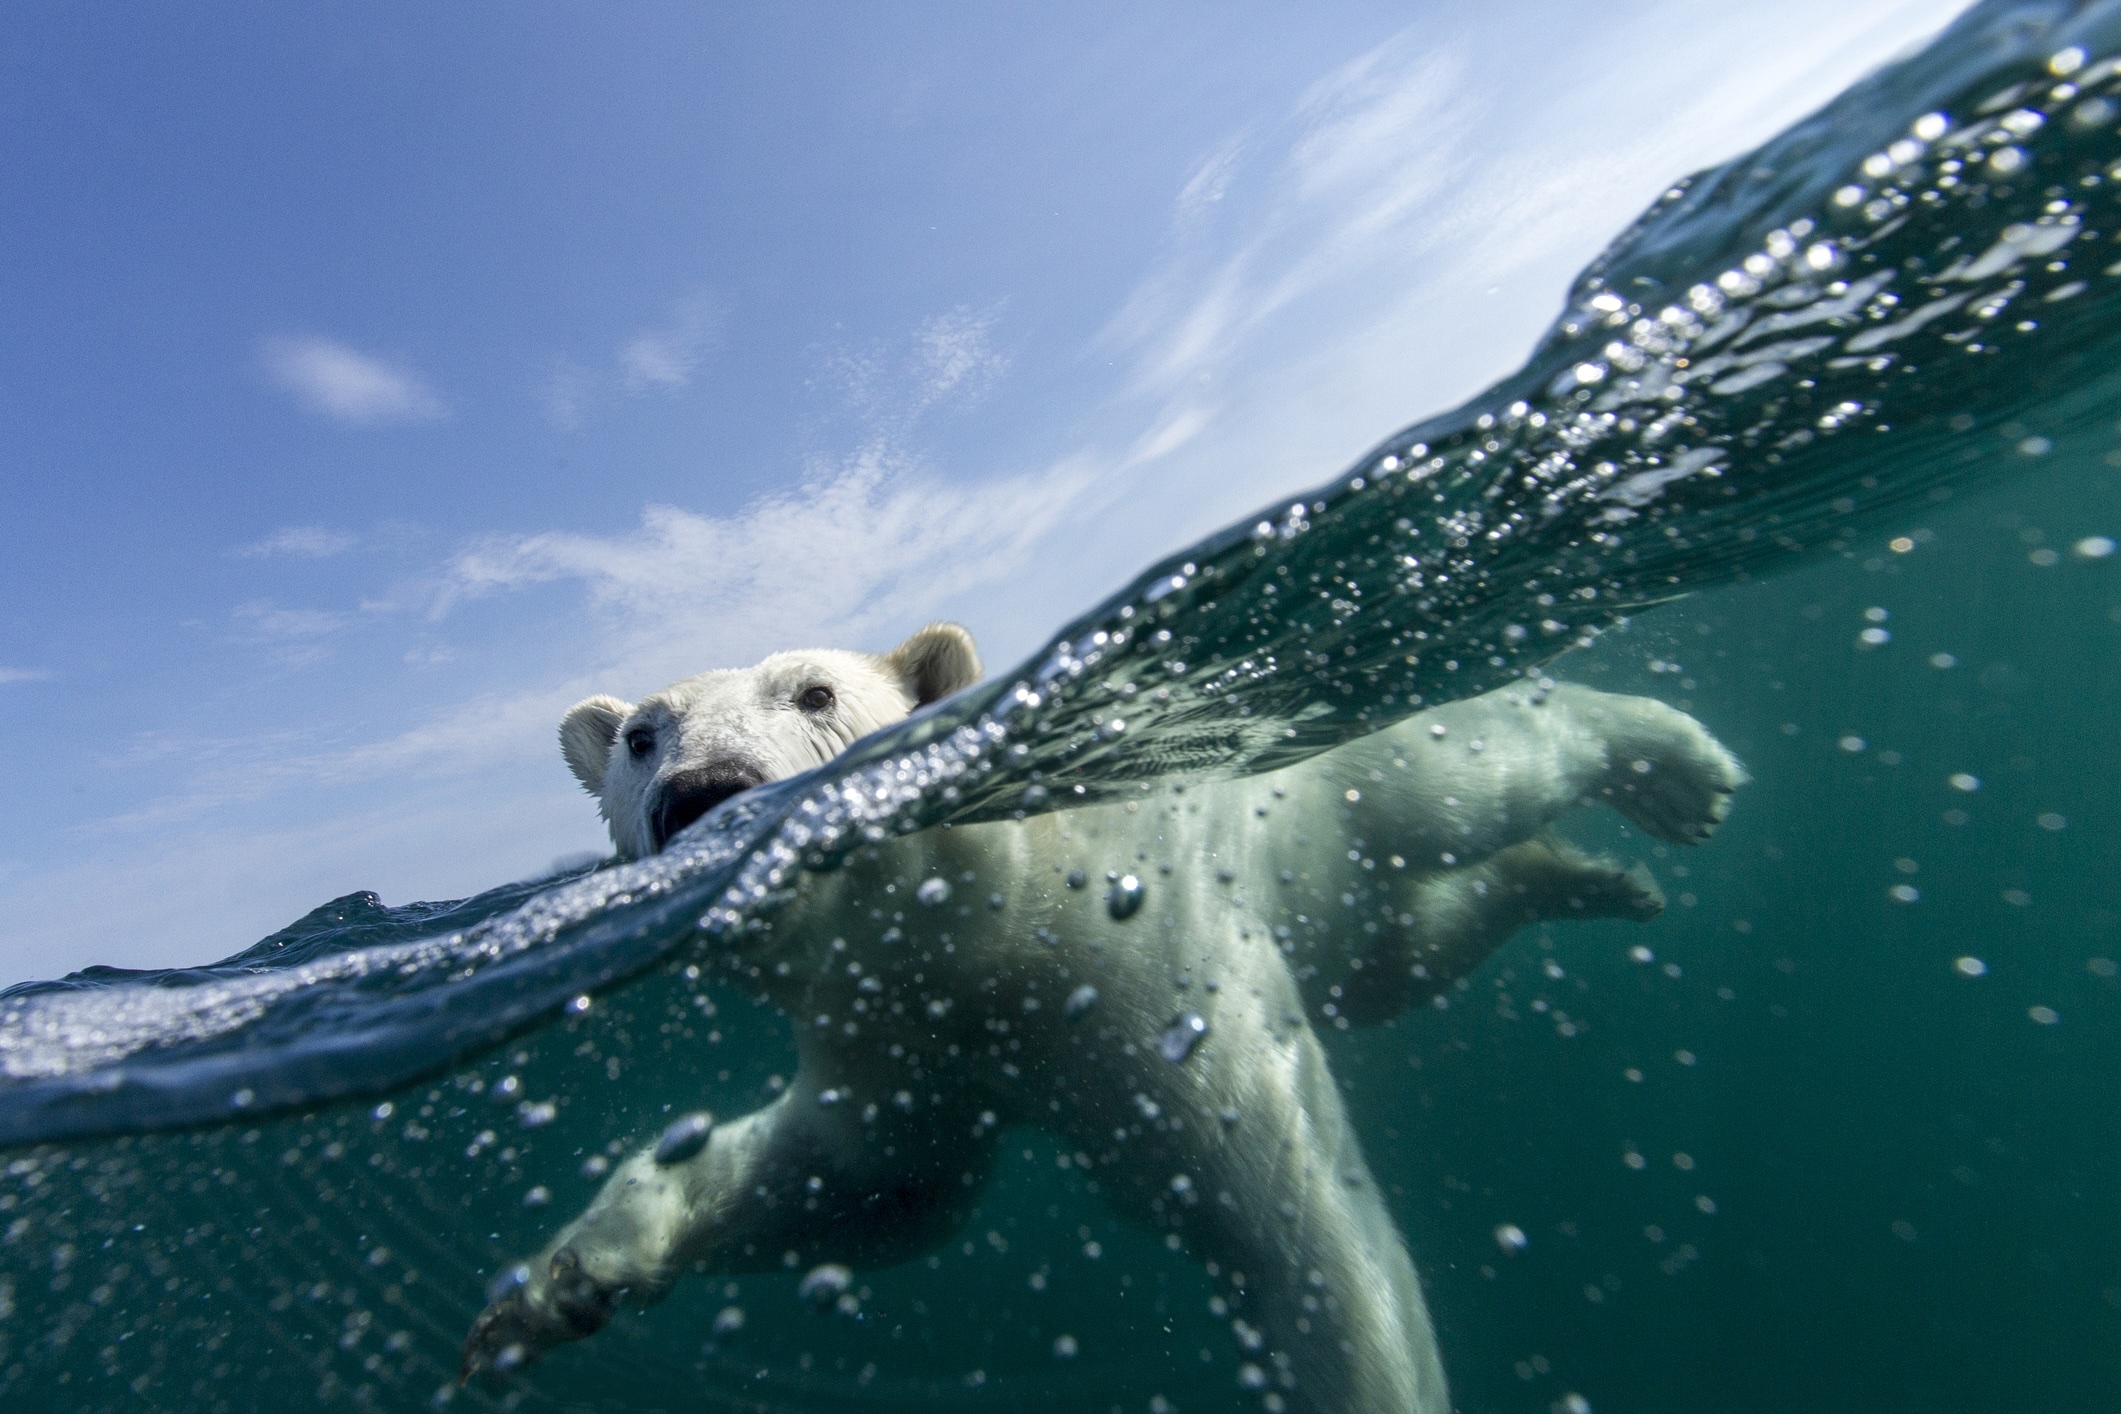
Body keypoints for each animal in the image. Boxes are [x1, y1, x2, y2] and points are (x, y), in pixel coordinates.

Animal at [463, 623, 1743, 1413]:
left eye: (816, 693)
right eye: (643, 736)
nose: (703, 798)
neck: (997, 918)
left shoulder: (1144, 956)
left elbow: (1289, 1213)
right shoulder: (905, 1036)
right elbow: (872, 1184)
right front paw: (552, 1288)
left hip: (1334, 790)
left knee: (1471, 772)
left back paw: (1673, 765)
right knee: (1419, 939)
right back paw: (1587, 877)